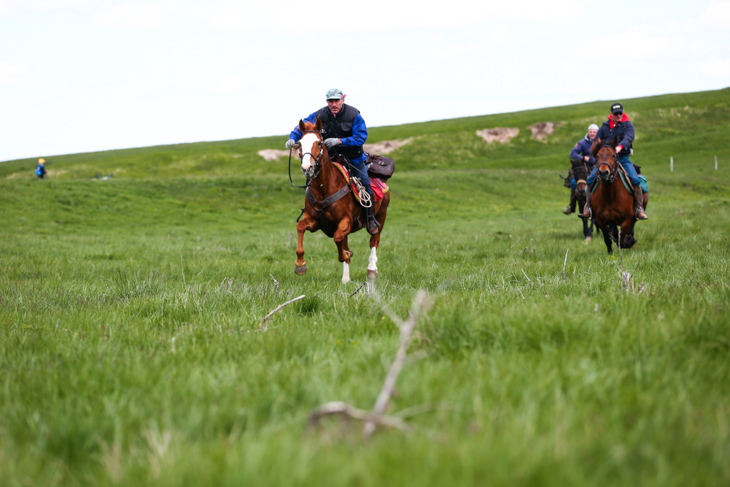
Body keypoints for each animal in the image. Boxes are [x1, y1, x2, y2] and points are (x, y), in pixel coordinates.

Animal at [292, 119, 390, 284]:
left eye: (319, 143)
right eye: (299, 143)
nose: (307, 168)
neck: (324, 188)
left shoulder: (346, 221)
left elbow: (338, 238)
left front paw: (345, 254)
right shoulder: (314, 221)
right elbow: (300, 227)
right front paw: (300, 265)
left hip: (381, 217)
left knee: (374, 241)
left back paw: (371, 270)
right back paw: (345, 279)